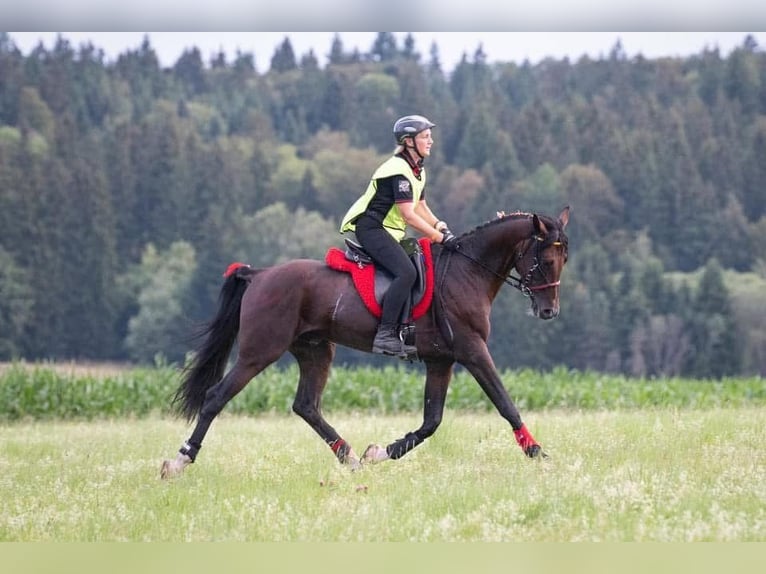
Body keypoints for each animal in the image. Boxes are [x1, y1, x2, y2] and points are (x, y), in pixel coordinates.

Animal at [160, 209, 568, 480]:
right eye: (546, 259)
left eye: (563, 259)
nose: (549, 311)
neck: (467, 272)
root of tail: (259, 275)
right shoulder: (473, 351)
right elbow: (505, 404)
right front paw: (538, 453)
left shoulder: (441, 361)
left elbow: (431, 422)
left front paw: (378, 453)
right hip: (258, 352)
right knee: (216, 397)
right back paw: (179, 461)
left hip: (315, 349)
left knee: (306, 405)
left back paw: (351, 457)